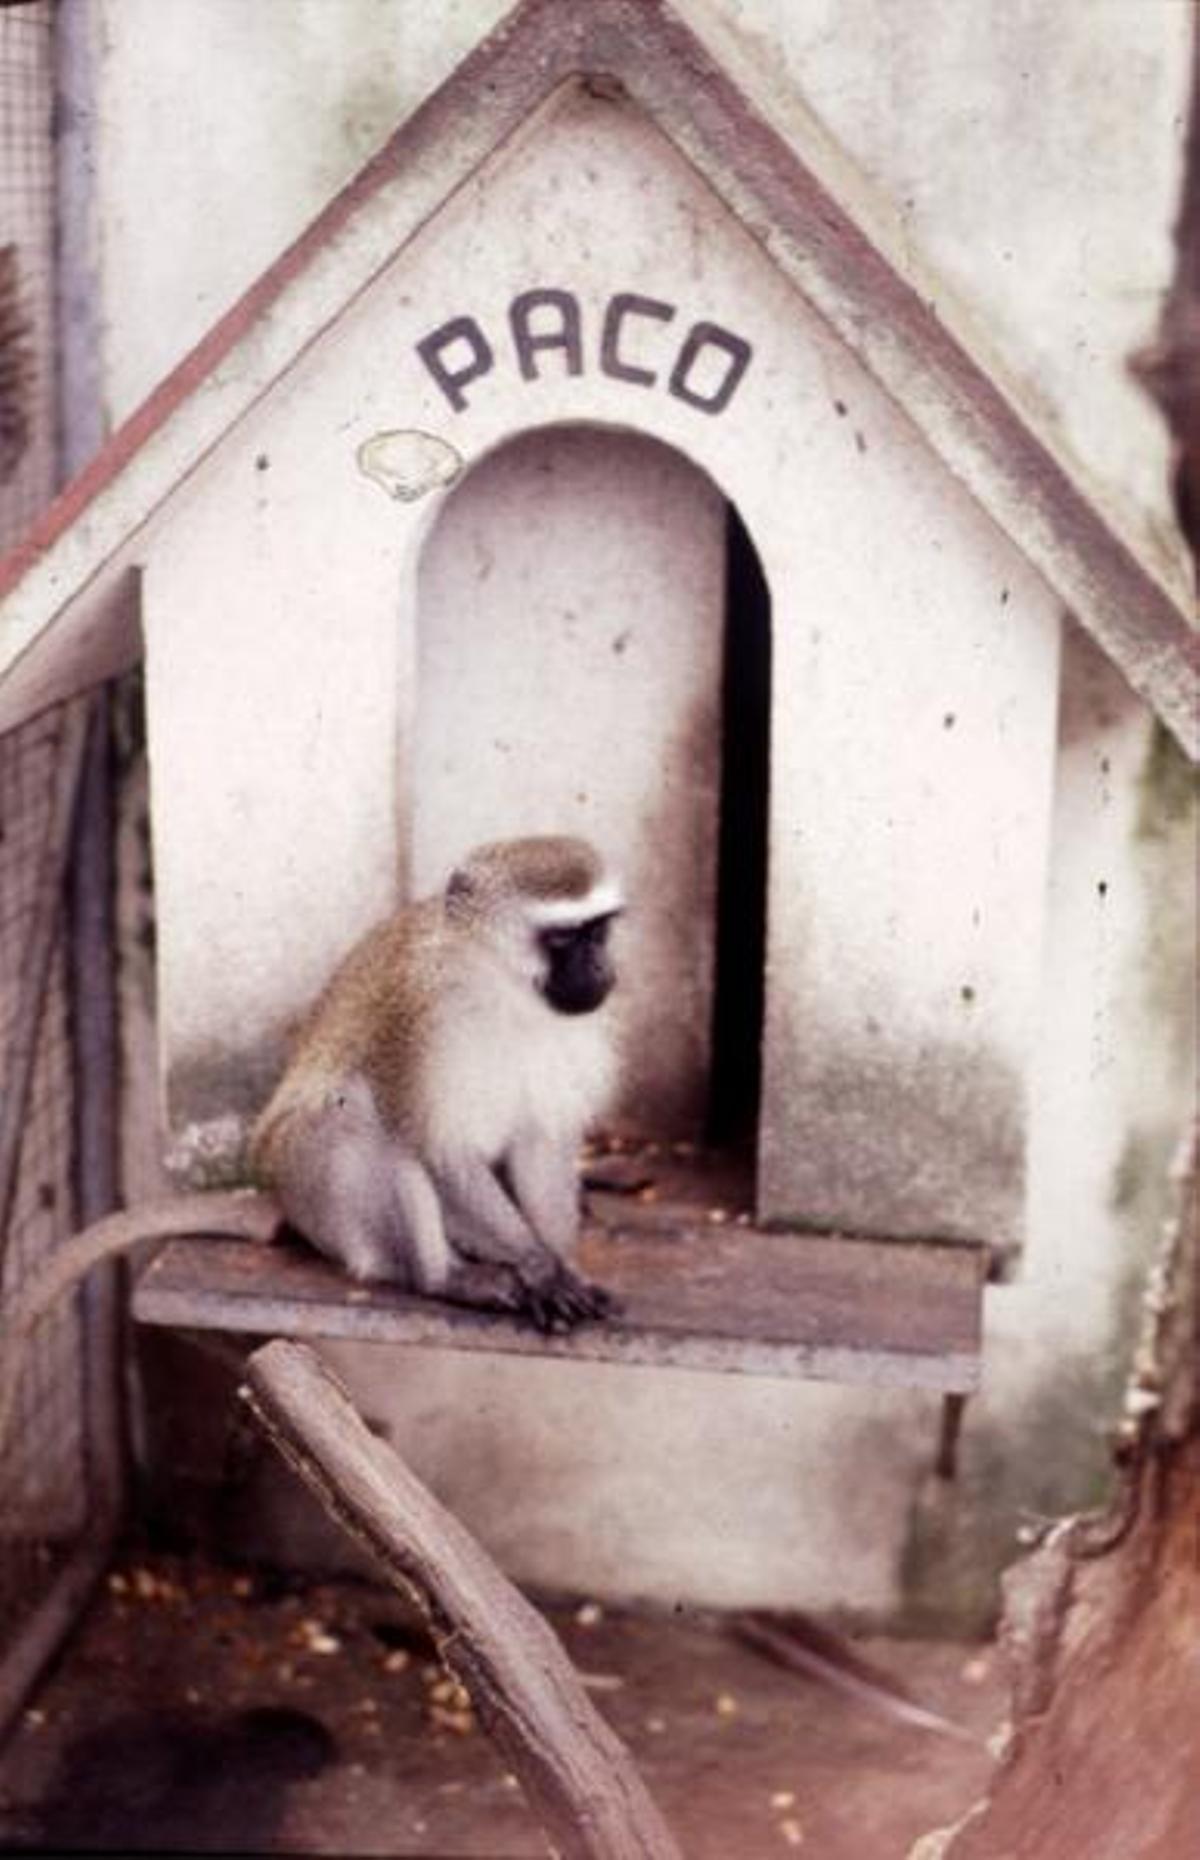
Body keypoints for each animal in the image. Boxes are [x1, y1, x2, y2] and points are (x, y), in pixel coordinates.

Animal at [249, 834, 624, 1334]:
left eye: (598, 932)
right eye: (563, 938)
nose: (602, 969)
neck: (503, 993)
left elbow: (541, 1146)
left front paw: (565, 1267)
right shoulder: (415, 1019)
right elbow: (440, 1150)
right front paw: (541, 1267)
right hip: (306, 1191)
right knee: (353, 1115)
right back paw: (442, 1278)